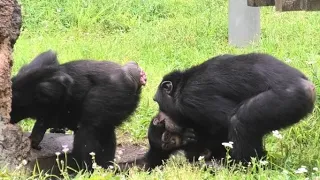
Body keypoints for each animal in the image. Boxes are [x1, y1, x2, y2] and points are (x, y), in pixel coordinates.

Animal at [10, 49, 148, 170]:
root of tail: (134, 75)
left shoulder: (45, 90)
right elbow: (48, 56)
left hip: (113, 91)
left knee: (88, 130)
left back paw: (83, 170)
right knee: (105, 131)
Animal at [154, 52, 316, 165]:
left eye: (157, 102)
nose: (159, 118)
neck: (181, 88)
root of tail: (310, 86)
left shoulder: (193, 99)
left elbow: (223, 122)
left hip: (286, 99)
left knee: (240, 121)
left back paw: (241, 167)